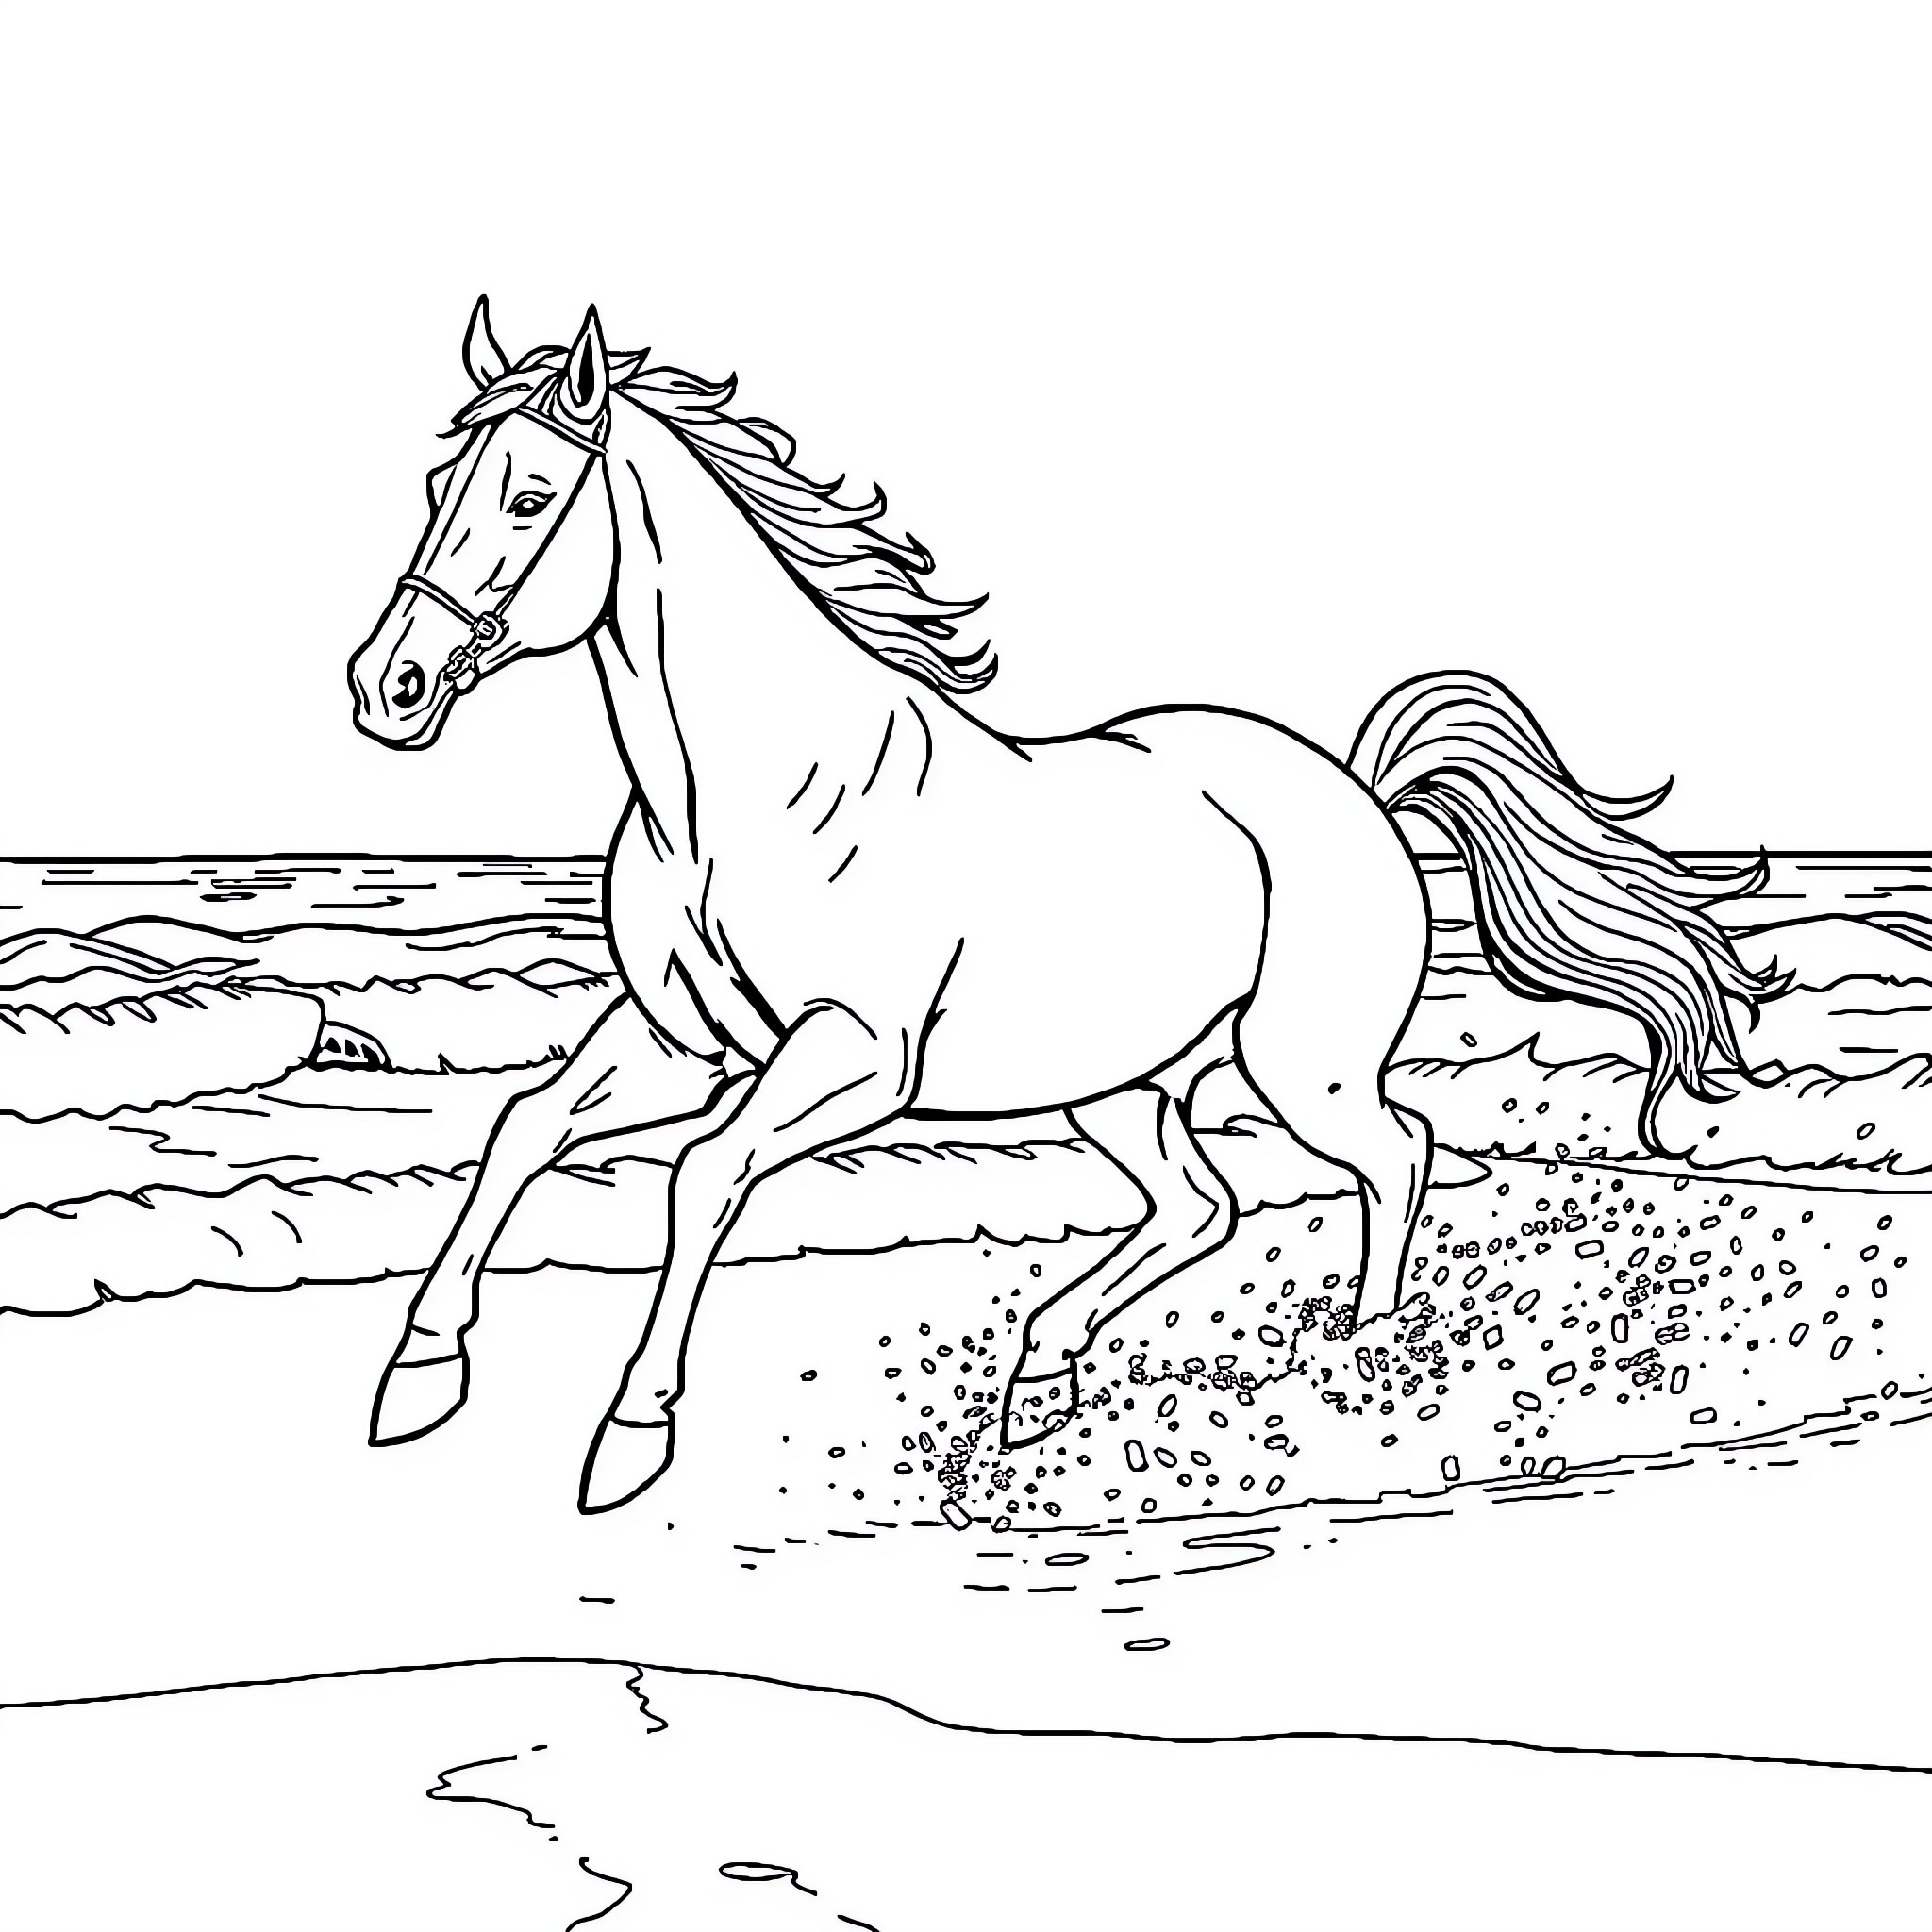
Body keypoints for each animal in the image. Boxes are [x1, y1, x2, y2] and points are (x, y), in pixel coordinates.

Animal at [347, 300, 1777, 1514]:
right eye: (435, 487)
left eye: (531, 496)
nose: (386, 687)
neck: (743, 791)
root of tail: (1358, 791)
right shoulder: (679, 1041)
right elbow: (521, 1130)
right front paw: (418, 1377)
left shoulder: (852, 1059)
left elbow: (702, 1177)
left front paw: (629, 1438)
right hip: (1118, 1085)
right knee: (1204, 1204)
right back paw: (1040, 1376)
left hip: (1298, 1066)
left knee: (1394, 1151)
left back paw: (1351, 1356)